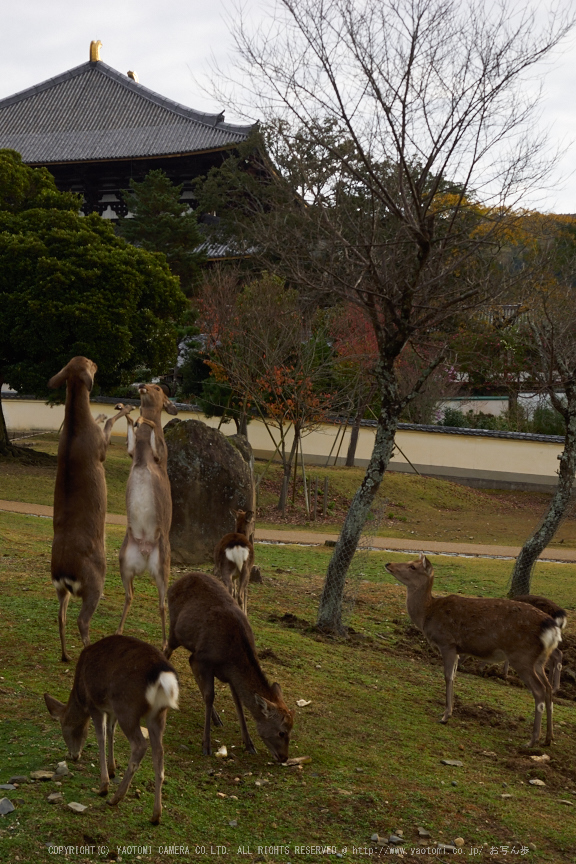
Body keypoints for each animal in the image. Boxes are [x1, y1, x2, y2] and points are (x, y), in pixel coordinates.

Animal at [45, 636, 178, 824]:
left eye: (65, 728)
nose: (73, 756)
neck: (80, 695)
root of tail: (162, 676)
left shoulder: (95, 704)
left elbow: (100, 736)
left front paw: (103, 785)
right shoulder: (111, 710)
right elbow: (110, 731)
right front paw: (112, 767)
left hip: (126, 706)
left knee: (139, 745)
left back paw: (115, 798)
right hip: (157, 714)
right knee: (159, 752)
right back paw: (155, 815)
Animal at [48, 356, 134, 660]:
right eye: (91, 363)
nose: (96, 365)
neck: (75, 428)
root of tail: (64, 573)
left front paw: (102, 413)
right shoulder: (101, 448)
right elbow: (109, 425)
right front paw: (124, 408)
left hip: (60, 589)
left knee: (60, 616)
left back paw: (65, 654)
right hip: (94, 580)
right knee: (81, 620)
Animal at [164, 572, 294, 760]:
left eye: (292, 731)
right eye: (281, 732)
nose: (284, 757)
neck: (231, 657)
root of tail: (177, 581)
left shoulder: (229, 674)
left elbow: (238, 703)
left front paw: (249, 744)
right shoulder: (203, 658)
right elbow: (210, 696)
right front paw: (206, 745)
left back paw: (216, 719)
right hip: (175, 629)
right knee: (165, 650)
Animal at [384, 552, 560, 748]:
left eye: (413, 567)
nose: (388, 564)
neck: (427, 614)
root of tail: (552, 627)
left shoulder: (447, 643)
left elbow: (448, 676)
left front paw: (445, 715)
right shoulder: (458, 650)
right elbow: (454, 675)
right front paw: (449, 711)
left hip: (522, 656)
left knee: (539, 691)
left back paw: (532, 740)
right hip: (539, 660)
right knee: (548, 688)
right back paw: (548, 738)